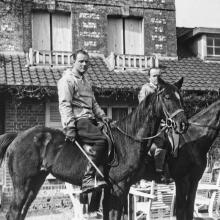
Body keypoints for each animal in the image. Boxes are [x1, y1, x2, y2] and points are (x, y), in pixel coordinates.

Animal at [0, 78, 187, 220]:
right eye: (167, 97)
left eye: (181, 98)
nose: (182, 124)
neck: (128, 139)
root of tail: (18, 136)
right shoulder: (118, 188)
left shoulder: (118, 190)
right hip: (22, 184)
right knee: (13, 213)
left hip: (35, 183)